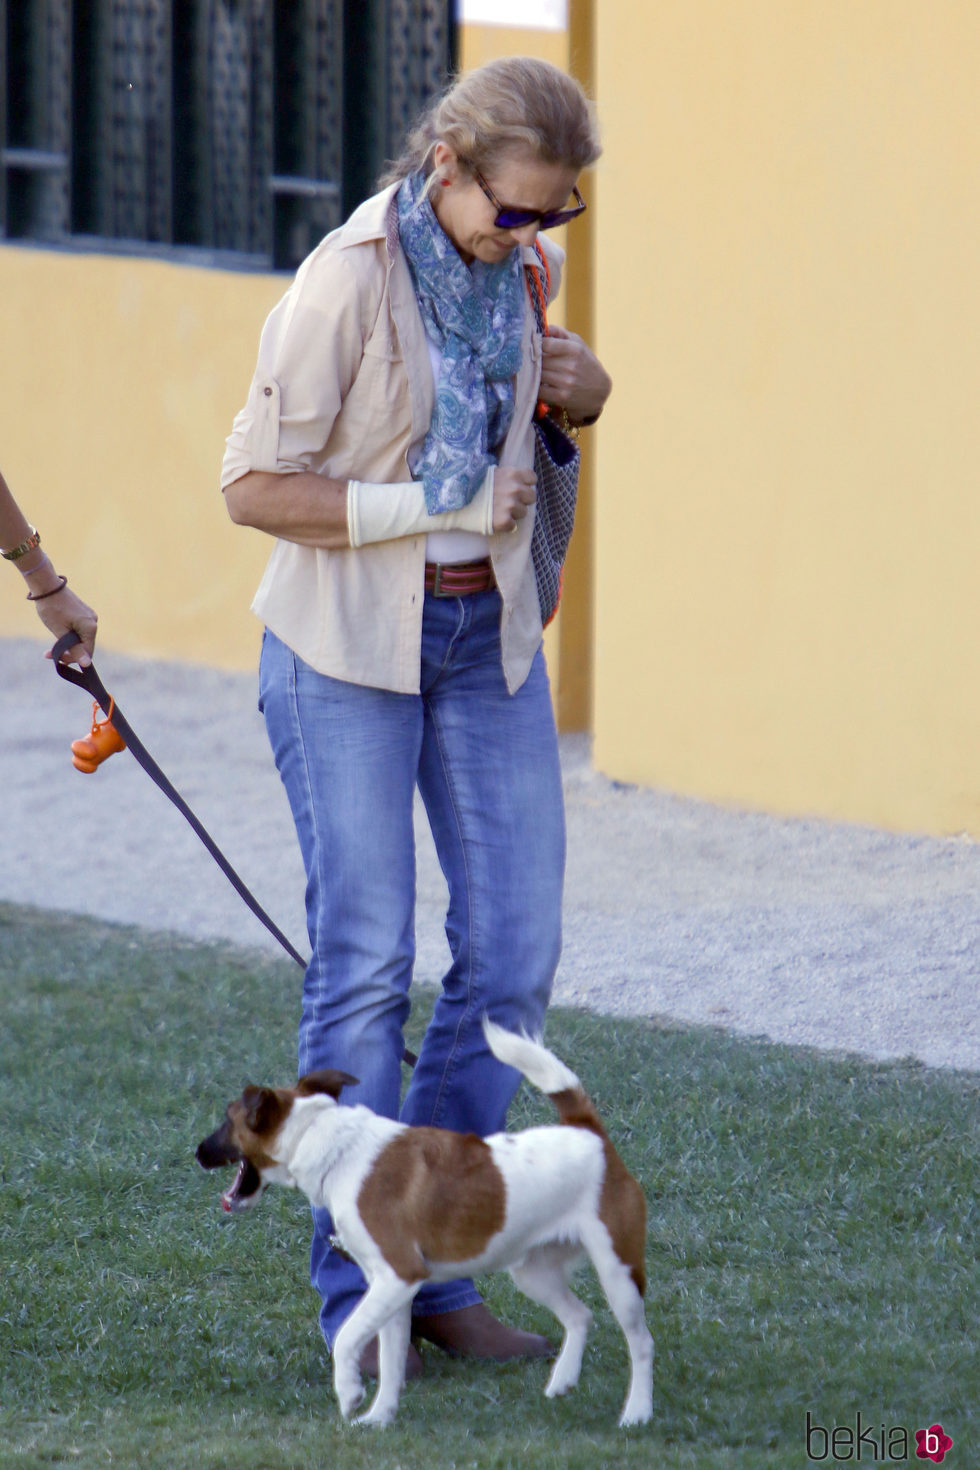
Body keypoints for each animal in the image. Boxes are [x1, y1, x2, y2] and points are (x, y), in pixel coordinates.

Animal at [195, 1023, 655, 1422]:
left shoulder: (398, 1275)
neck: (330, 1144)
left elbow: (346, 1338)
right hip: (533, 1272)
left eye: (227, 1119)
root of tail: (589, 1133)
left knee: (641, 1342)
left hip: (618, 1271)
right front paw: (380, 1418)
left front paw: (350, 1394)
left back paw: (637, 1413)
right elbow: (391, 1360)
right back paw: (562, 1382)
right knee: (580, 1316)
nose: (197, 1152)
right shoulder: (392, 1291)